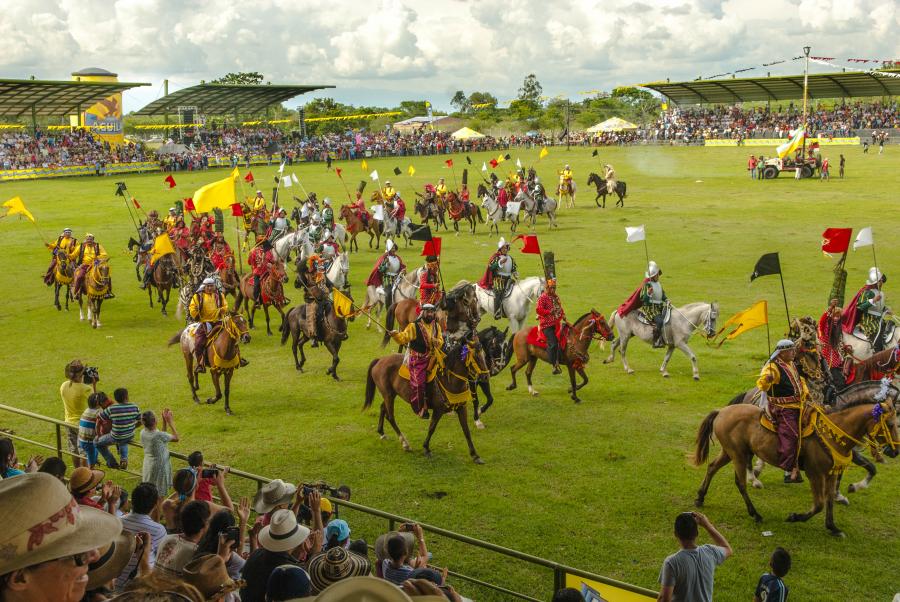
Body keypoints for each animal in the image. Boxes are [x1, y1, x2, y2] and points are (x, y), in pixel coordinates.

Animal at [362, 328, 488, 464]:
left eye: (484, 354)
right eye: (476, 356)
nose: (486, 376)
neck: (449, 379)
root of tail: (380, 360)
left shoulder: (461, 408)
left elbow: (466, 431)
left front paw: (475, 455)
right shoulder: (438, 410)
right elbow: (432, 427)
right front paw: (426, 448)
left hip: (390, 394)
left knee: (382, 408)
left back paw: (382, 432)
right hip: (388, 395)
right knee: (390, 417)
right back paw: (405, 443)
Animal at [692, 390, 896, 536]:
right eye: (891, 424)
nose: (895, 451)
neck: (832, 432)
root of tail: (722, 411)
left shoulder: (831, 473)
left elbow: (829, 498)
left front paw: (832, 527)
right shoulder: (815, 474)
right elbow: (819, 504)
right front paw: (795, 517)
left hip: (730, 452)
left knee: (712, 467)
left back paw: (700, 497)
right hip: (738, 454)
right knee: (740, 483)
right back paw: (755, 513)